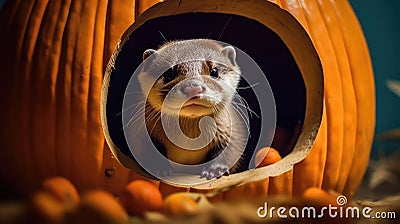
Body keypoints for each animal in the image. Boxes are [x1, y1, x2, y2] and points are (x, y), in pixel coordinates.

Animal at [135, 39, 247, 180]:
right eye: (169, 74)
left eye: (214, 71)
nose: (194, 87)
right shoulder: (141, 133)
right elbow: (146, 150)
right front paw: (159, 167)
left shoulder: (232, 131)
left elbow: (230, 151)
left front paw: (215, 170)